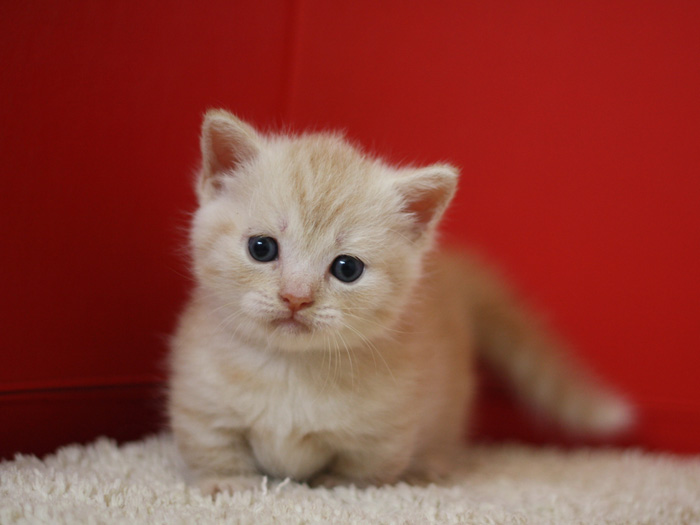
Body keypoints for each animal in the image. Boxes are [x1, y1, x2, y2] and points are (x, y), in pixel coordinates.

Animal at [167, 109, 632, 492]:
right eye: (261, 248)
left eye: (347, 269)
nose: (295, 297)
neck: (290, 369)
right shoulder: (199, 400)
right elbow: (211, 446)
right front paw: (227, 483)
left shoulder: (387, 426)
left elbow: (366, 468)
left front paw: (340, 484)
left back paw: (428, 468)